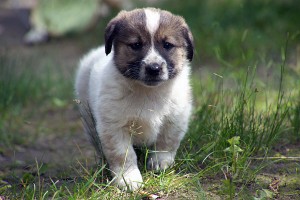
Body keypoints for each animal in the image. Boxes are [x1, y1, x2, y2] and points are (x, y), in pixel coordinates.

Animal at [74, 7, 193, 191]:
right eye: (136, 45)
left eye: (167, 45)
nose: (154, 68)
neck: (148, 92)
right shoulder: (114, 127)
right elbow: (123, 155)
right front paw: (128, 178)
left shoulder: (176, 119)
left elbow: (166, 143)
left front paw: (160, 164)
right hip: (87, 116)